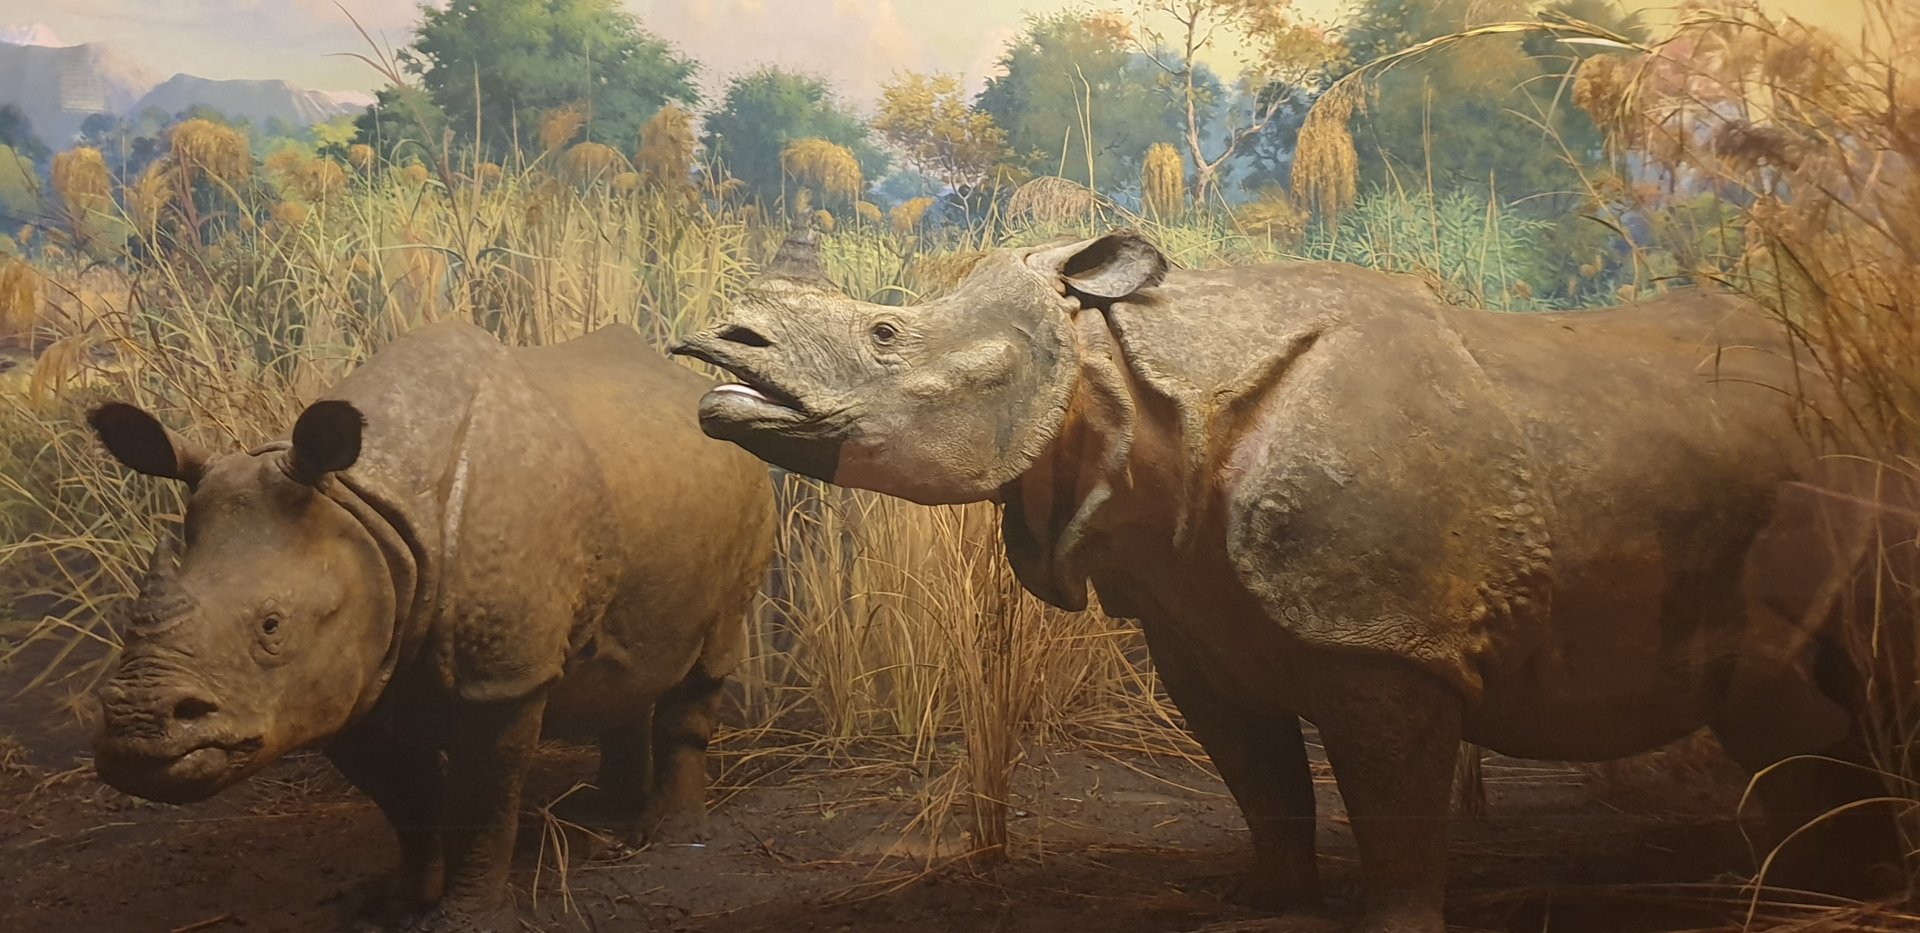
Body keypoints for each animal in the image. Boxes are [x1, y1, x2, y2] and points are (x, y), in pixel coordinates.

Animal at [88, 321, 776, 932]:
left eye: (272, 626)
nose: (136, 728)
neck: (366, 503)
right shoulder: (347, 679)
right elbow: (406, 801)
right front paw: (394, 904)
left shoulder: (500, 678)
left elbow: (483, 804)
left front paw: (464, 918)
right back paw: (604, 813)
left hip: (751, 481)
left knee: (710, 654)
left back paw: (670, 837)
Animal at [671, 229, 1897, 932]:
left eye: (885, 333)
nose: (717, 350)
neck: (1120, 381)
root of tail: (1846, 371)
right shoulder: (1191, 619)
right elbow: (1258, 777)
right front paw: (1263, 903)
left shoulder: (1386, 638)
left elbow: (1390, 797)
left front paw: (1396, 922)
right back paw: (1827, 886)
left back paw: (1806, 891)